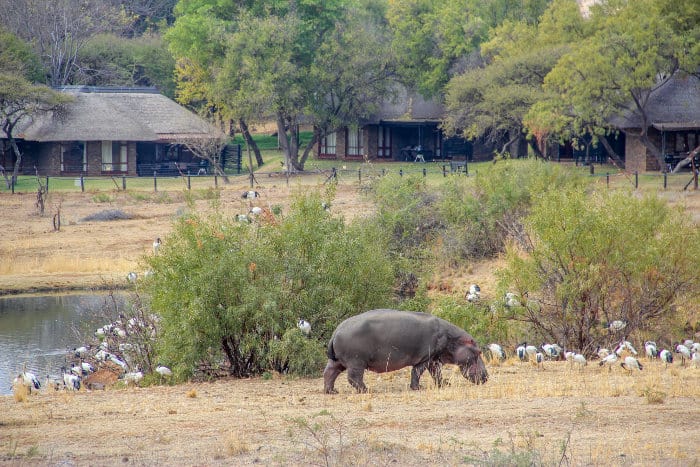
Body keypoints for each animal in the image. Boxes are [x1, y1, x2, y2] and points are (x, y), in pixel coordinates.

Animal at [322, 310, 486, 394]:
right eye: (479, 352)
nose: (487, 376)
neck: (453, 339)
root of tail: (336, 331)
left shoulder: (434, 358)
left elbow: (436, 373)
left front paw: (445, 384)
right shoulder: (425, 358)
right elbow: (417, 372)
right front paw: (418, 388)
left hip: (337, 361)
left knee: (329, 373)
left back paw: (332, 391)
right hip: (356, 361)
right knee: (353, 378)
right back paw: (367, 390)